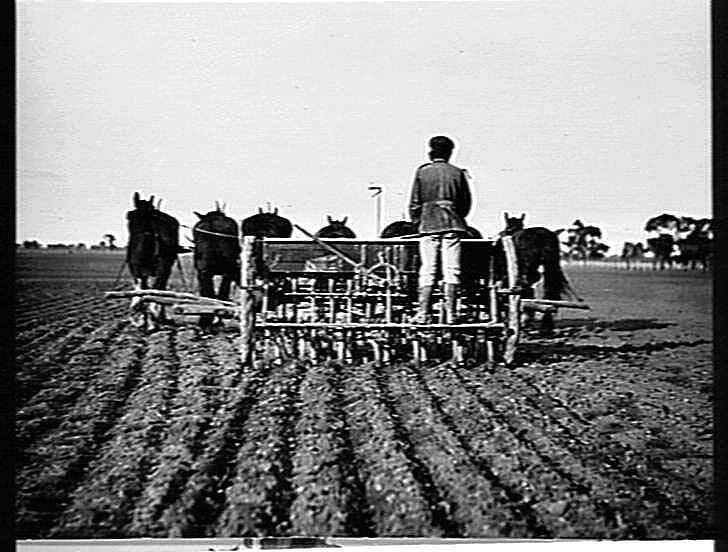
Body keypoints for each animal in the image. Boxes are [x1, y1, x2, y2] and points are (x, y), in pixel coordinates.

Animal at [126, 192, 181, 330]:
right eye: (130, 216)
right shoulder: (139, 271)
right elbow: (143, 291)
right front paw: (141, 318)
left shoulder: (158, 271)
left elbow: (152, 292)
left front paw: (149, 320)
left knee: (160, 290)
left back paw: (158, 318)